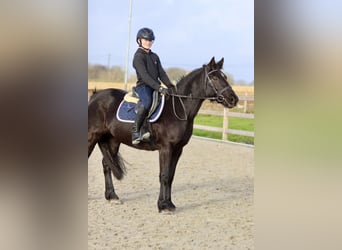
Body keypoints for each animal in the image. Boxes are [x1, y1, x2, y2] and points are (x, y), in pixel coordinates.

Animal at [88, 57, 238, 212]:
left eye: (225, 77)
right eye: (214, 77)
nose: (233, 99)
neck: (179, 109)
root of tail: (95, 95)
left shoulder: (178, 149)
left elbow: (170, 176)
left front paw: (169, 203)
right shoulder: (166, 148)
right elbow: (164, 176)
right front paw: (163, 205)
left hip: (113, 140)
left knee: (106, 165)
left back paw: (112, 197)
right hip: (91, 136)